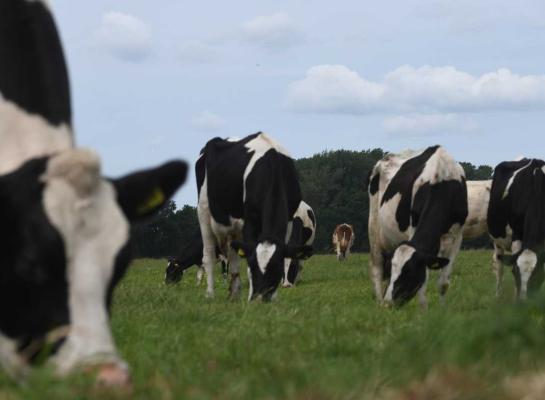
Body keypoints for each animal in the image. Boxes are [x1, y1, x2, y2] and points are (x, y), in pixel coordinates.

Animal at [198, 133, 312, 302]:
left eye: (275, 267)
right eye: (252, 266)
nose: (258, 298)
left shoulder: (289, 218)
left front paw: (274, 297)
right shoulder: (249, 220)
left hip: (233, 227)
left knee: (233, 256)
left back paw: (235, 294)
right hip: (204, 211)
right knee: (209, 255)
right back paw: (210, 294)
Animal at [366, 145, 468, 308]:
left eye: (409, 272)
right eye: (394, 271)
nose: (388, 304)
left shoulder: (457, 236)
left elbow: (444, 283)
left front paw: (442, 310)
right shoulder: (414, 227)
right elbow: (423, 283)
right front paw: (423, 310)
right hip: (374, 227)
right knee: (377, 268)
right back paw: (379, 301)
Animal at [486, 158, 544, 298]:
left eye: (538, 276)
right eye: (514, 272)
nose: (523, 301)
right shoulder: (516, 235)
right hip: (497, 240)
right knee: (499, 267)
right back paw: (498, 295)